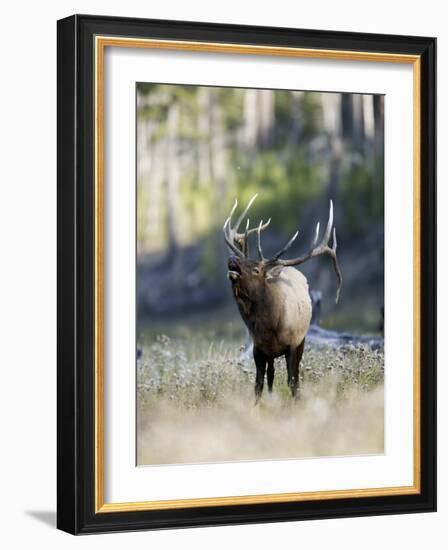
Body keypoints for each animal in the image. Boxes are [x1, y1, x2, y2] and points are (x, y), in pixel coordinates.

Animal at [224, 196, 344, 404]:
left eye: (256, 269)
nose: (232, 259)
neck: (270, 325)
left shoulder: (293, 344)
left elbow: (292, 381)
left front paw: (297, 403)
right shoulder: (258, 348)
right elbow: (258, 384)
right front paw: (256, 406)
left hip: (302, 340)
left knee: (293, 374)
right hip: (271, 354)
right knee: (271, 375)